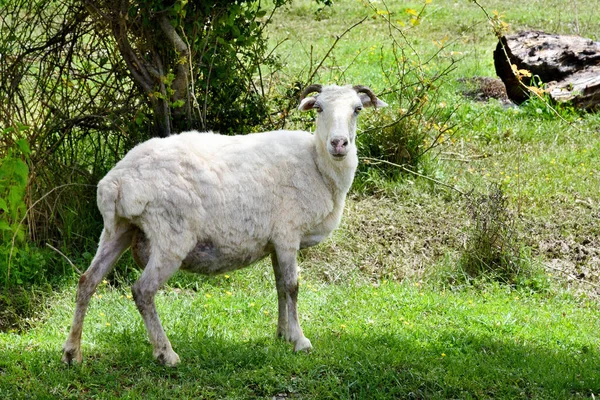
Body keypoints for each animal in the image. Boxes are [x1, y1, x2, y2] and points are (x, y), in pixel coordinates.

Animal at [62, 83, 390, 366]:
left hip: (117, 229)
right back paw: (166, 353)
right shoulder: (288, 233)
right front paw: (300, 340)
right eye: (319, 108)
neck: (317, 164)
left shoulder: (275, 241)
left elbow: (280, 287)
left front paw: (282, 334)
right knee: (142, 291)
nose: (339, 143)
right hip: (171, 236)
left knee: (87, 281)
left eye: (357, 109)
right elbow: (293, 286)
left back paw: (72, 352)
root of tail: (116, 182)